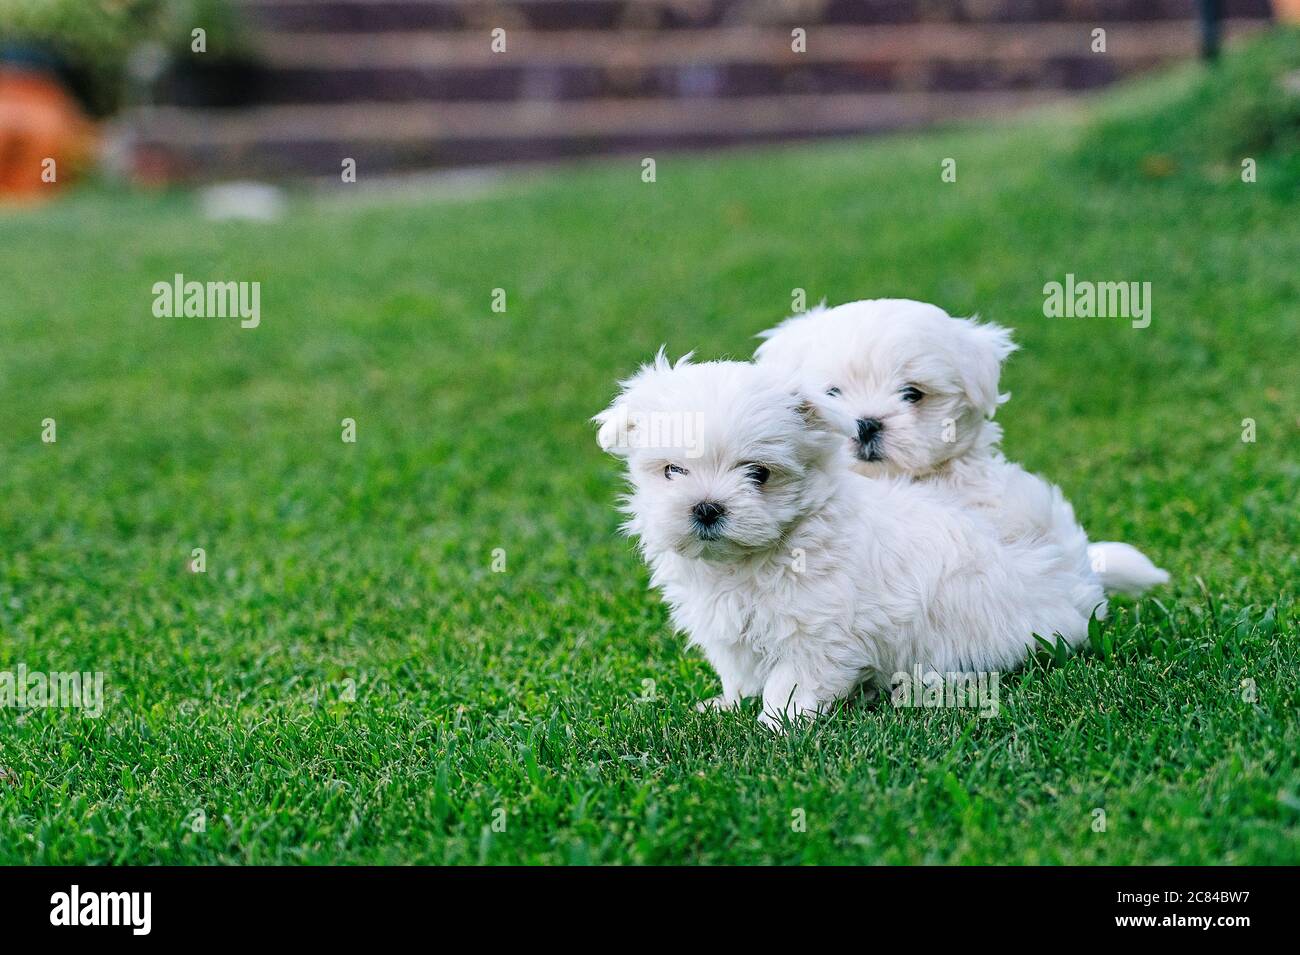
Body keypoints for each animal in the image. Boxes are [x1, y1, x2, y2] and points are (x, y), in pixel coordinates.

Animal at [595, 356, 1107, 727]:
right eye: (672, 471)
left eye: (758, 474)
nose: (706, 507)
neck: (756, 557)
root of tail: (1060, 561)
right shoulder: (731, 632)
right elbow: (740, 673)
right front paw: (727, 704)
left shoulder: (817, 634)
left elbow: (792, 683)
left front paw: (774, 727)